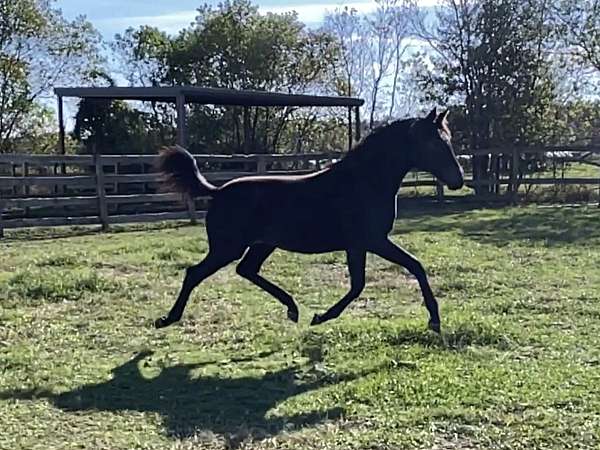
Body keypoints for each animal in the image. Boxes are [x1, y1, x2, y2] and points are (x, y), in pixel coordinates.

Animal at [155, 108, 464, 334]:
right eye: (433, 143)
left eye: (447, 140)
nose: (458, 180)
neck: (364, 181)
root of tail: (217, 191)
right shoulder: (370, 241)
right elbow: (392, 273)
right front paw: (434, 319)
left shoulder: (362, 244)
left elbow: (379, 278)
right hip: (227, 248)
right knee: (195, 273)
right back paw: (168, 318)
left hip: (262, 244)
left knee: (246, 270)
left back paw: (292, 309)